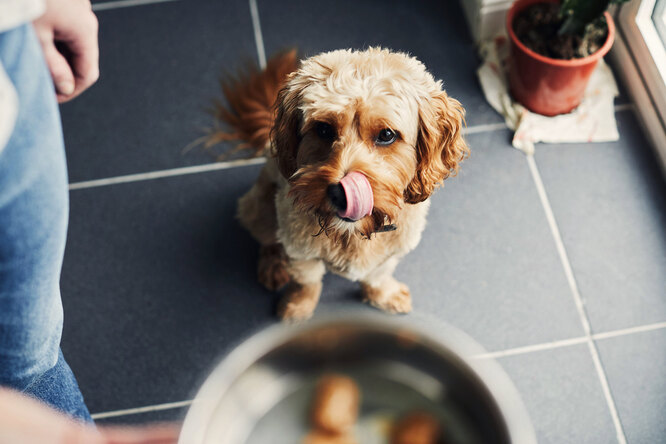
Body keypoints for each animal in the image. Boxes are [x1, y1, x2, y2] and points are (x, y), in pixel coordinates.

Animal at [213, 47, 466, 320]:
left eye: (386, 135)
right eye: (323, 129)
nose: (340, 193)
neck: (351, 234)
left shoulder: (393, 251)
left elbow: (378, 275)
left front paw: (383, 295)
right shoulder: (299, 250)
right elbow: (307, 282)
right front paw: (300, 305)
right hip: (259, 207)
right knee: (267, 239)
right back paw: (272, 264)